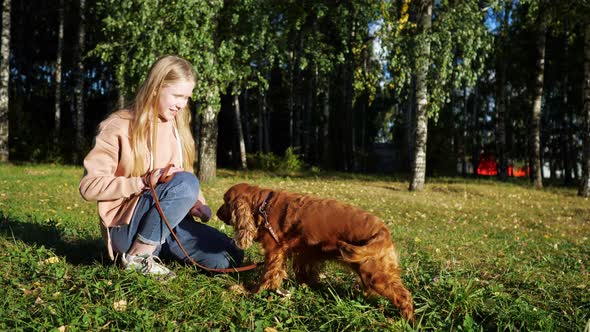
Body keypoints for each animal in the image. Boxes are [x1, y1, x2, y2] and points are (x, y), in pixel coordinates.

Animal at [217, 183, 416, 320]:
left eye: (225, 202)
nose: (217, 214)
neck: (264, 204)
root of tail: (383, 230)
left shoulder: (274, 252)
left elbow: (267, 277)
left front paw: (250, 292)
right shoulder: (306, 252)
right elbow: (305, 272)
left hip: (375, 273)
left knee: (404, 296)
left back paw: (405, 321)